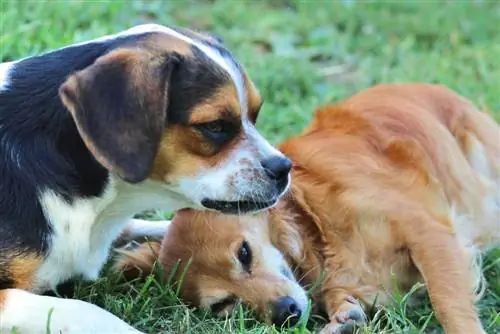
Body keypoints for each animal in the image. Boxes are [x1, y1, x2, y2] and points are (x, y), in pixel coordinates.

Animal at [115, 82, 498, 332]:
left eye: (244, 254)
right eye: (225, 305)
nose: (284, 313)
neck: (315, 227)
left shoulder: (427, 231)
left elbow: (449, 304)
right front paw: (343, 316)